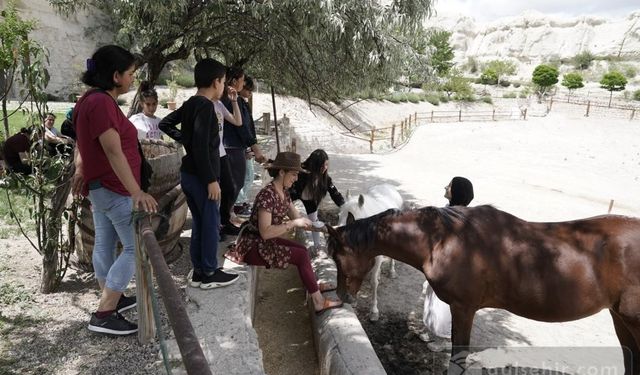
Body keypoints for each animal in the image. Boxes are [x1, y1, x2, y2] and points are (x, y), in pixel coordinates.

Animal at [324, 206, 640, 375]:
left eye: (337, 256)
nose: (342, 296)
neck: (445, 241)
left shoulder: (463, 308)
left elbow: (458, 357)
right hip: (620, 319)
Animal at [338, 184, 402, 322]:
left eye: (352, 218)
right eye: (339, 215)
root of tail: (388, 186)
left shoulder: (376, 258)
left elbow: (373, 283)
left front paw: (374, 311)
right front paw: (353, 300)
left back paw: (392, 272)